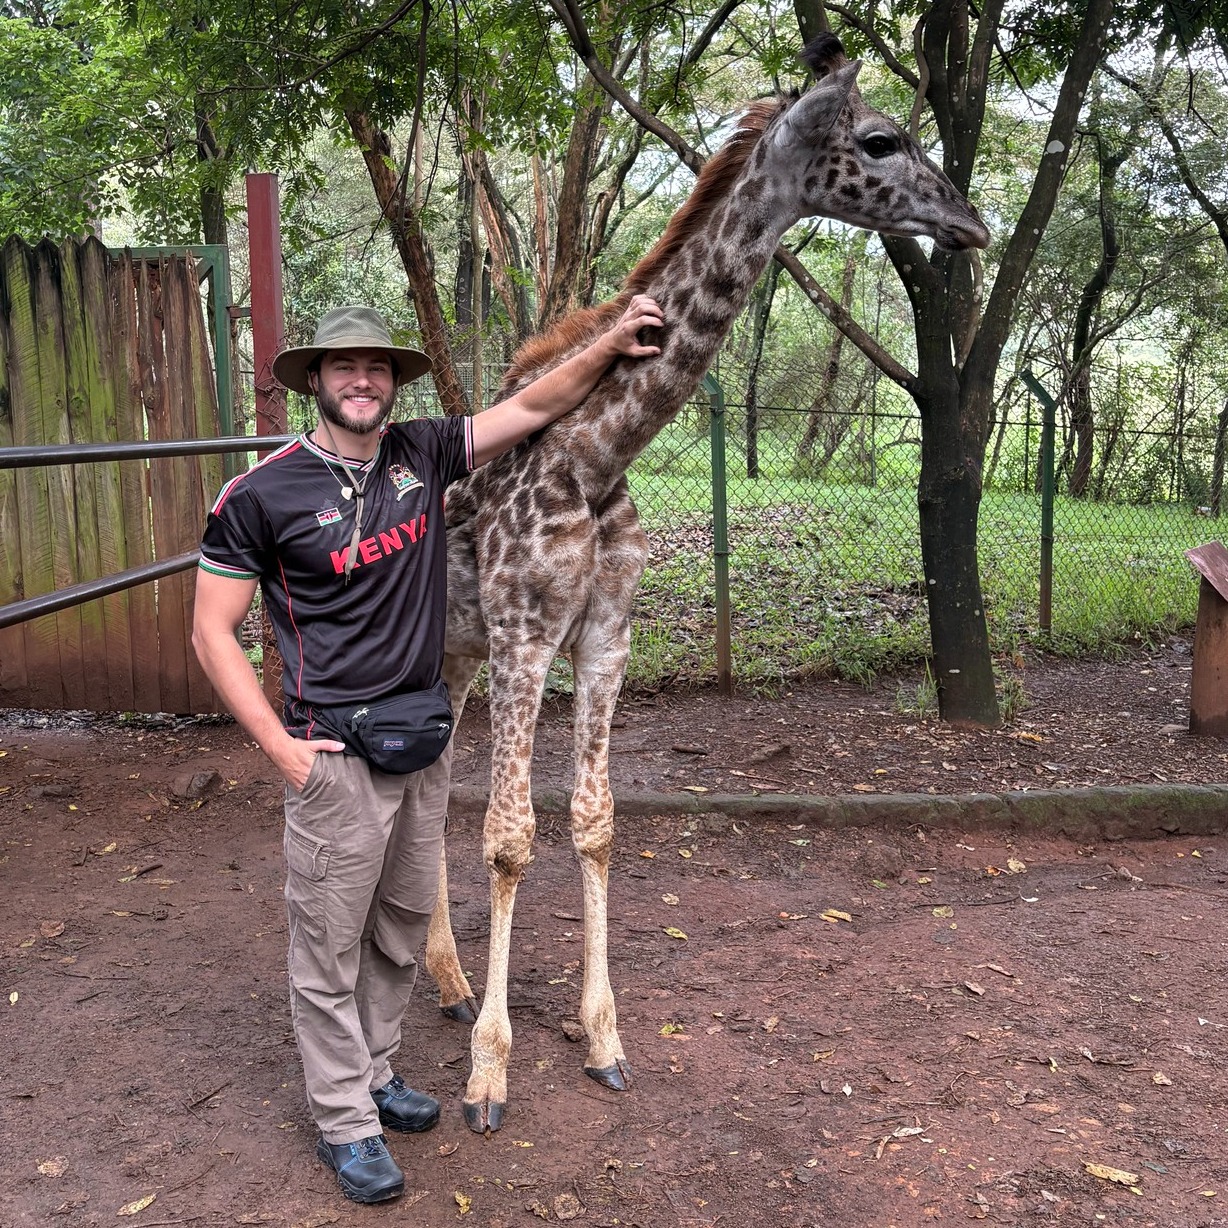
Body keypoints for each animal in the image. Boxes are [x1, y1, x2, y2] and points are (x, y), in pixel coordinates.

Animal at [425, 33, 991, 1133]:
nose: (972, 223)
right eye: (879, 139)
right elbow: (509, 837)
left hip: (455, 657)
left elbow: (593, 820)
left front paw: (603, 1040)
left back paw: (445, 978)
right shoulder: (523, 633)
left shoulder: (603, 635)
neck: (595, 453)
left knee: (420, 792)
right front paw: (488, 1077)